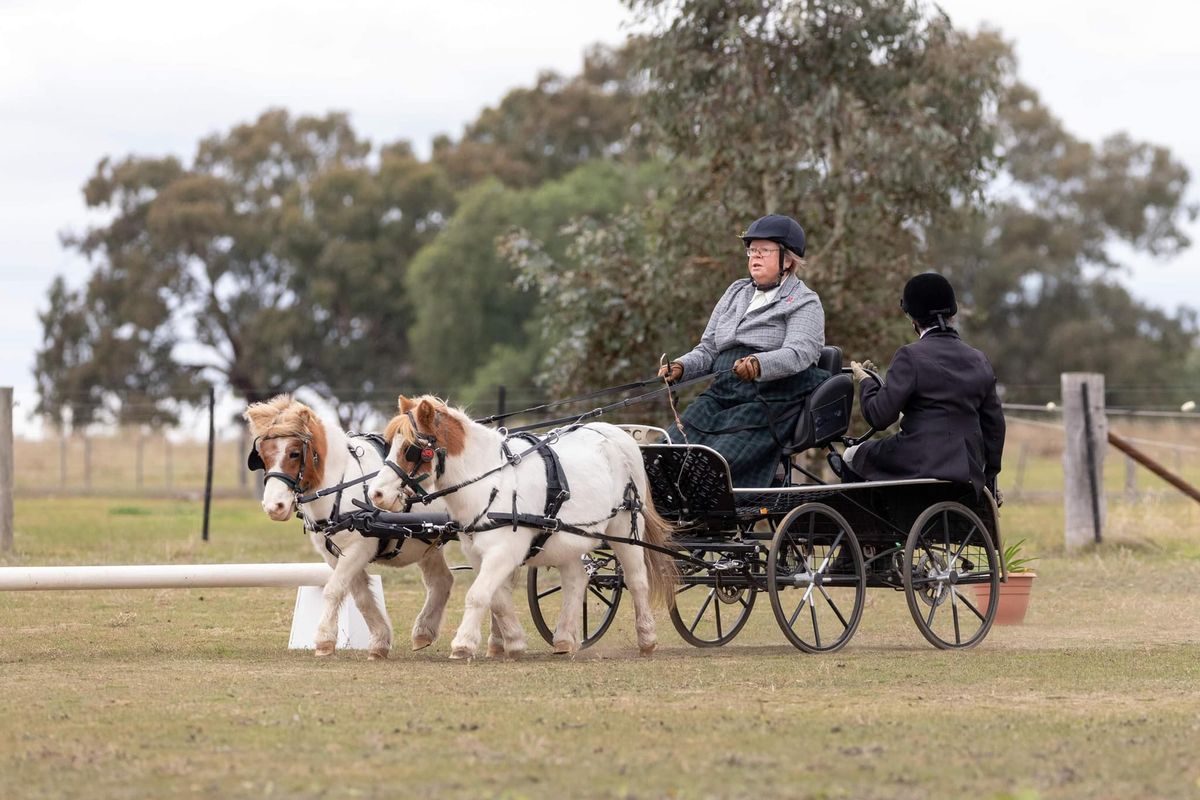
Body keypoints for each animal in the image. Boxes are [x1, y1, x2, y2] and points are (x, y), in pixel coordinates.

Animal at [243, 395, 453, 662]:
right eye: (262, 455)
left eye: (293, 453)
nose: (274, 506)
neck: (340, 483)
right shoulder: (333, 554)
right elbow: (361, 597)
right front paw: (379, 642)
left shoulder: (359, 548)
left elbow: (333, 590)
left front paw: (323, 640)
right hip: (428, 544)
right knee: (442, 581)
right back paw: (424, 632)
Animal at [369, 393, 681, 657]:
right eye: (390, 445)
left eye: (410, 449)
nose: (377, 494)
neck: (491, 481)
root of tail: (618, 435)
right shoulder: (479, 554)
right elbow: (497, 599)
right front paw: (514, 642)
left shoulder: (504, 551)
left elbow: (478, 595)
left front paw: (463, 644)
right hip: (566, 538)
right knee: (576, 580)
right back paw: (564, 639)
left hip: (625, 527)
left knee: (637, 580)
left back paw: (647, 638)